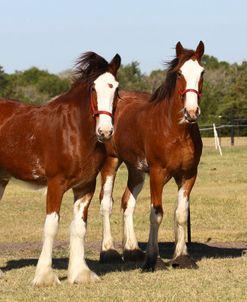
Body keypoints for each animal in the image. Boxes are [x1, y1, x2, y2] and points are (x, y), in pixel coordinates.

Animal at [0, 52, 120, 286]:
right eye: (93, 89)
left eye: (116, 89)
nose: (105, 131)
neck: (74, 132)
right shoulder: (56, 184)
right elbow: (51, 226)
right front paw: (45, 276)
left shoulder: (85, 187)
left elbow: (79, 228)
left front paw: (80, 273)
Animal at [98, 41, 205, 270]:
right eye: (180, 73)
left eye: (202, 72)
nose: (192, 111)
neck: (176, 131)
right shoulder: (157, 173)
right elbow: (156, 213)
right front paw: (153, 260)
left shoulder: (188, 175)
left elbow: (180, 214)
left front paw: (182, 257)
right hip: (111, 162)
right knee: (106, 203)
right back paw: (108, 251)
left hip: (136, 170)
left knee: (127, 202)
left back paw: (132, 250)